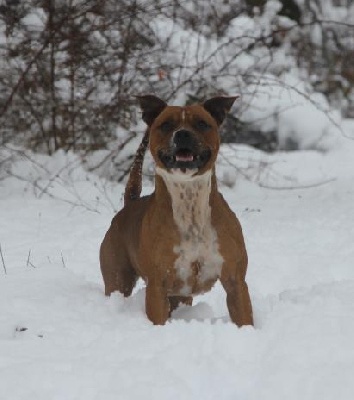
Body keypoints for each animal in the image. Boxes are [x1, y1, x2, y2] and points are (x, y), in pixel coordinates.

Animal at [99, 95, 253, 326]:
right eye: (166, 125)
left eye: (202, 123)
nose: (183, 134)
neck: (190, 201)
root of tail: (128, 205)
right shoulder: (157, 287)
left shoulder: (236, 282)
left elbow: (244, 317)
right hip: (117, 280)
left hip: (180, 296)